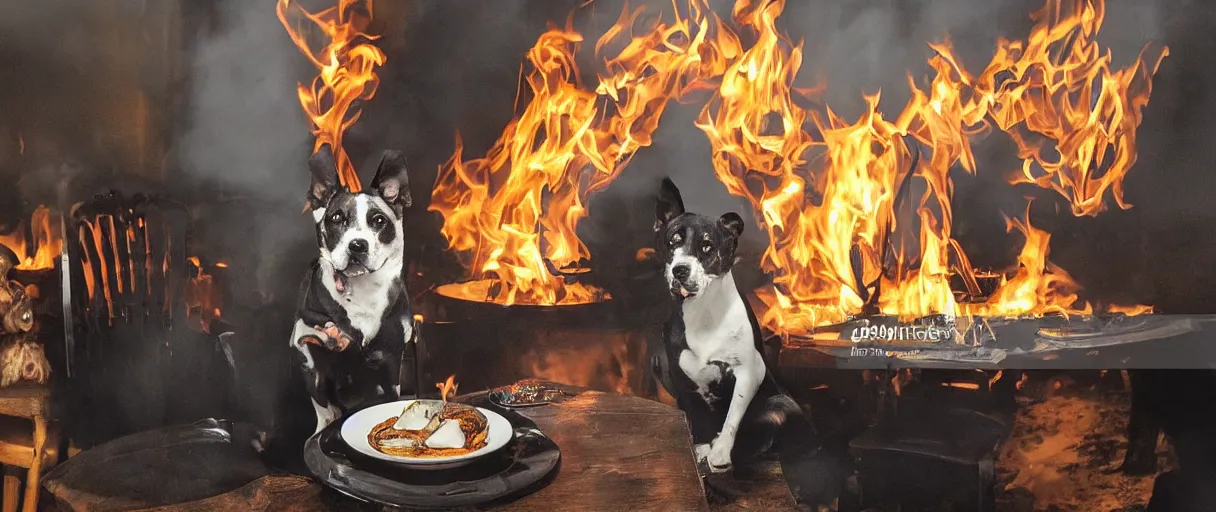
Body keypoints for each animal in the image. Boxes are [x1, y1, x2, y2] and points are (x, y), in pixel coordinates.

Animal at [291, 144, 415, 435]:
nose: (357, 245)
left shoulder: (390, 359)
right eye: (336, 218)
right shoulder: (308, 353)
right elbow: (325, 408)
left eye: (379, 220)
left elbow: (389, 395)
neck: (363, 291)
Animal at [656, 177, 836, 505]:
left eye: (707, 246)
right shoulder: (681, 377)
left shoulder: (749, 372)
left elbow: (732, 416)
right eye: (673, 241)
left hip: (779, 404)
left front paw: (720, 452)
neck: (704, 311)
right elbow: (697, 417)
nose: (680, 270)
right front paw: (701, 448)